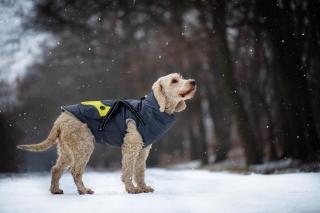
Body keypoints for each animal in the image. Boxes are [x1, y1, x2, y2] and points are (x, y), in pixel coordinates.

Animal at [18, 73, 198, 195]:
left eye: (181, 78)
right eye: (174, 80)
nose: (193, 81)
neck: (150, 108)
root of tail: (61, 119)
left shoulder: (143, 150)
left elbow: (140, 171)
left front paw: (143, 187)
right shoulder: (131, 147)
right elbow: (128, 170)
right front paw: (131, 189)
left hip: (67, 149)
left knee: (56, 169)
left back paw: (55, 190)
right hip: (83, 146)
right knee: (75, 171)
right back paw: (84, 190)